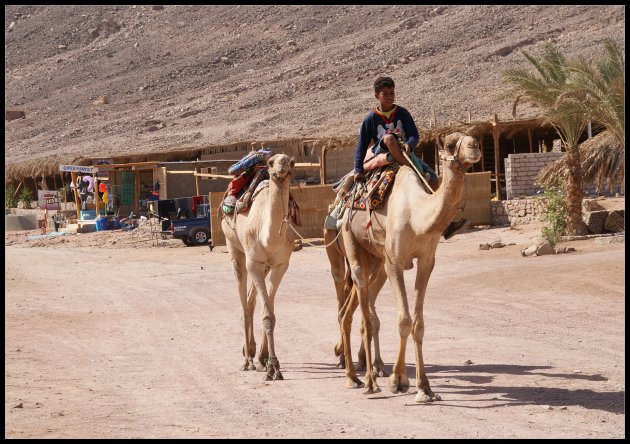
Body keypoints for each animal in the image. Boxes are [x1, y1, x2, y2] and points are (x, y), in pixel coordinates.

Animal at [222, 153, 296, 382]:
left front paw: (268, 362)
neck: (268, 238)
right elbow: (266, 314)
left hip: (264, 267)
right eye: (272, 162)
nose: (281, 167)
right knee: (243, 302)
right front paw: (272, 366)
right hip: (236, 251)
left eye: (291, 162)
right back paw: (247, 360)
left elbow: (269, 312)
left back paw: (255, 355)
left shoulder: (280, 265)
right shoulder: (253, 262)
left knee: (250, 300)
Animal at [328, 133, 482, 402]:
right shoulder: (395, 262)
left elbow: (418, 323)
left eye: (471, 138)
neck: (416, 215)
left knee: (350, 311)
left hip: (375, 259)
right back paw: (366, 381)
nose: (475, 146)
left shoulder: (427, 262)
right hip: (351, 240)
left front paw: (425, 388)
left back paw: (354, 375)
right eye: (450, 145)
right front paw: (398, 381)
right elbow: (403, 320)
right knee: (364, 314)